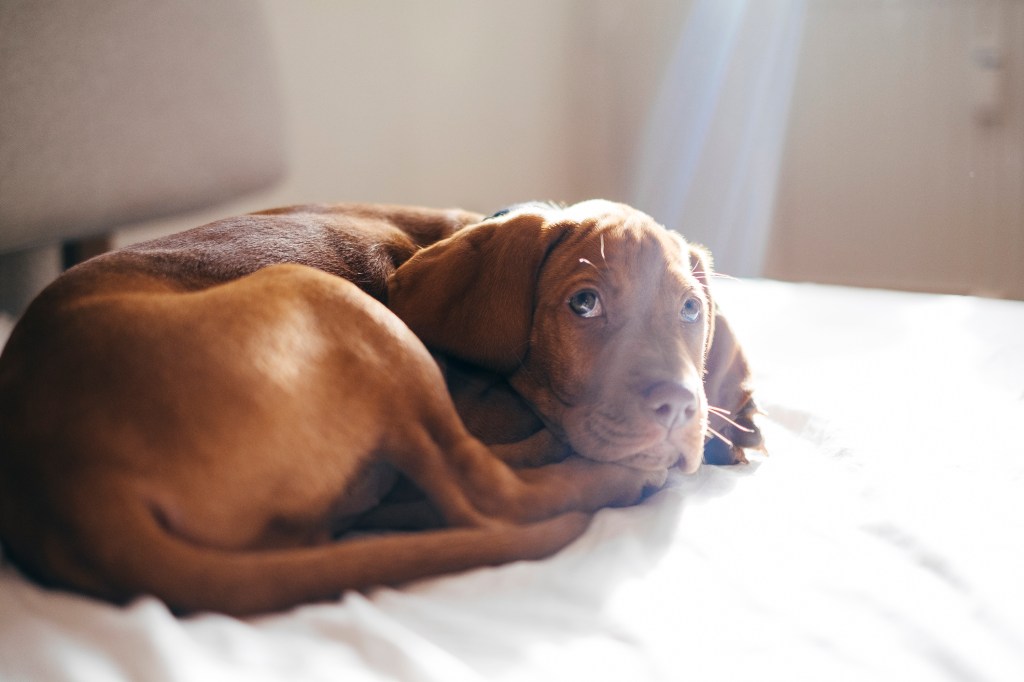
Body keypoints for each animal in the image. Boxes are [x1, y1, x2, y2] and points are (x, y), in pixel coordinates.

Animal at [0, 199, 753, 614]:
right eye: (584, 304)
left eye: (691, 309)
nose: (679, 409)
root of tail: (60, 489)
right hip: (340, 308)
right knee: (491, 491)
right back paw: (611, 475)